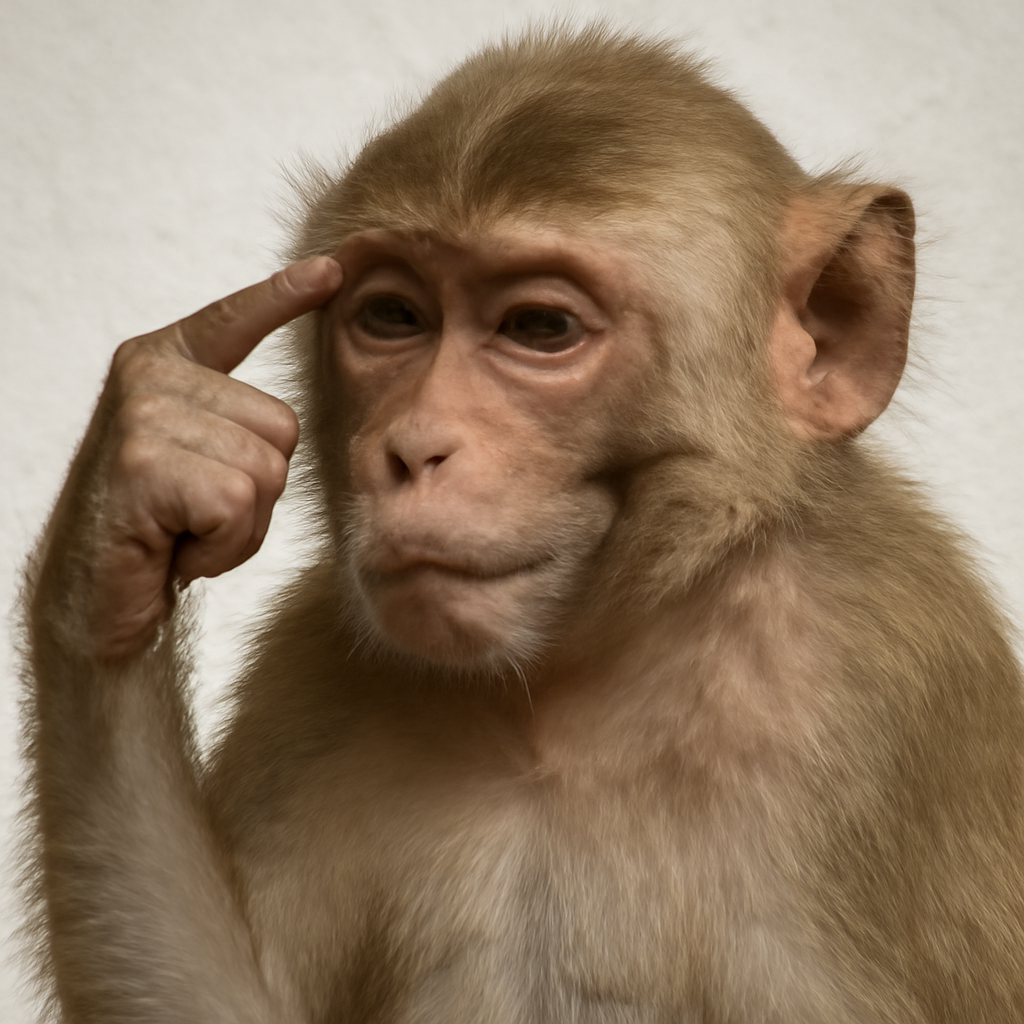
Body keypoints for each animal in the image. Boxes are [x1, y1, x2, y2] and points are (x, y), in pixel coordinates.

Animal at [18, 23, 1024, 1024]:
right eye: (393, 316)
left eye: (539, 328)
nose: (415, 448)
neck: (572, 688)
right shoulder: (310, 670)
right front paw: (123, 515)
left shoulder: (881, 687)